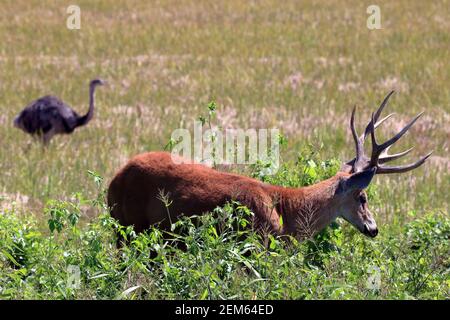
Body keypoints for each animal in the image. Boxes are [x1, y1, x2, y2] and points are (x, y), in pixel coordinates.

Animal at [107, 90, 430, 240]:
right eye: (362, 197)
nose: (373, 228)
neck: (287, 211)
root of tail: (115, 178)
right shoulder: (256, 243)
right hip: (127, 226)